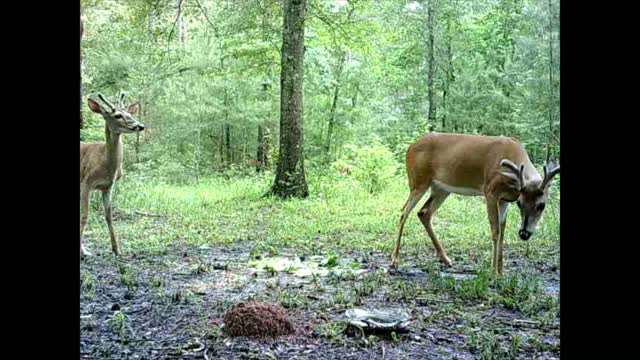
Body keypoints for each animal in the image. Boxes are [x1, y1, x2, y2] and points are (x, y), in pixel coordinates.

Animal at [80, 93, 145, 256]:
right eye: (117, 116)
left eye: (130, 114)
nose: (140, 126)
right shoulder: (86, 183)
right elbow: (84, 216)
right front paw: (83, 251)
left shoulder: (108, 187)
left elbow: (108, 216)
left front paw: (116, 249)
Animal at [390, 132, 560, 276]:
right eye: (520, 203)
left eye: (542, 205)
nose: (524, 234)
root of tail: (410, 147)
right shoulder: (490, 191)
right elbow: (495, 232)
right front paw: (492, 273)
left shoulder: (504, 200)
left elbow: (503, 233)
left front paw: (501, 273)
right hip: (418, 180)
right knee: (404, 212)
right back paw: (394, 261)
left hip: (441, 188)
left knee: (423, 212)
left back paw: (446, 260)